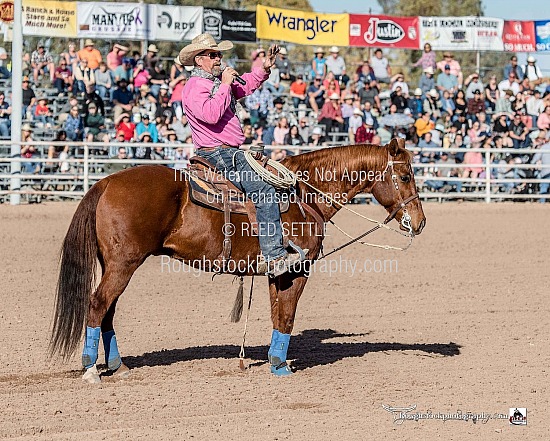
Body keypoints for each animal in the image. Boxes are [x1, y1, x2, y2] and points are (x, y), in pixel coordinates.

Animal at [48, 138, 426, 382]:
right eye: (405, 176)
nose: (420, 222)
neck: (304, 195)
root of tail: (106, 182)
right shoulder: (299, 268)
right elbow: (288, 315)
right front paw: (282, 367)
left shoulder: (278, 273)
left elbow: (278, 315)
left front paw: (275, 361)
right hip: (123, 264)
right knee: (98, 305)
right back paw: (90, 370)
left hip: (114, 264)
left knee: (108, 311)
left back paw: (118, 366)